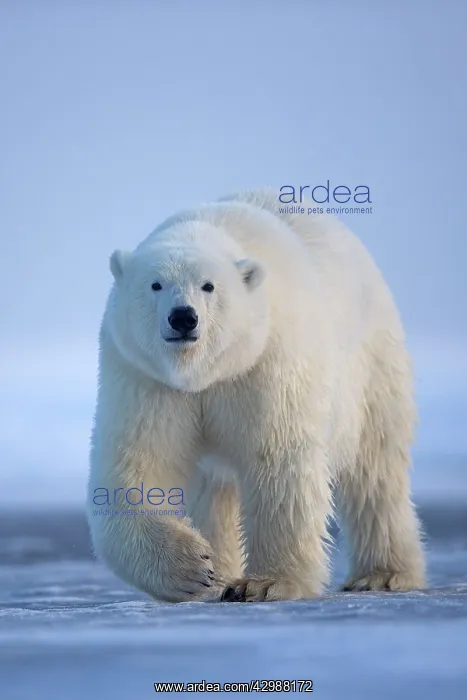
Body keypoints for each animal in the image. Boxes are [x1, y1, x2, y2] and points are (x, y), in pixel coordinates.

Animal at [87, 188, 426, 603]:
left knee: (375, 471)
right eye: (155, 285)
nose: (183, 317)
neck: (203, 374)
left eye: (208, 286)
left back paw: (383, 575)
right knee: (213, 492)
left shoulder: (267, 361)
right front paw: (194, 568)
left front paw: (266, 583)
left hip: (370, 366)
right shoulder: (145, 375)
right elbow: (136, 464)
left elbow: (278, 462)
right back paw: (218, 573)